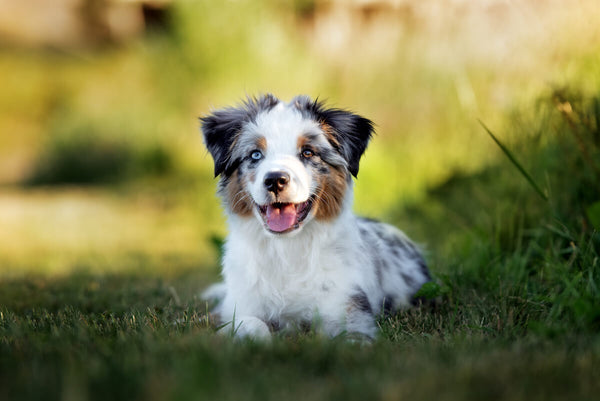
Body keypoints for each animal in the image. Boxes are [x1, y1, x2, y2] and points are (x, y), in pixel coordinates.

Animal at [202, 94, 432, 340]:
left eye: (308, 152)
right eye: (255, 154)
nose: (275, 180)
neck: (286, 250)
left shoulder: (349, 308)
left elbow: (348, 337)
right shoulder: (238, 306)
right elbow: (251, 324)